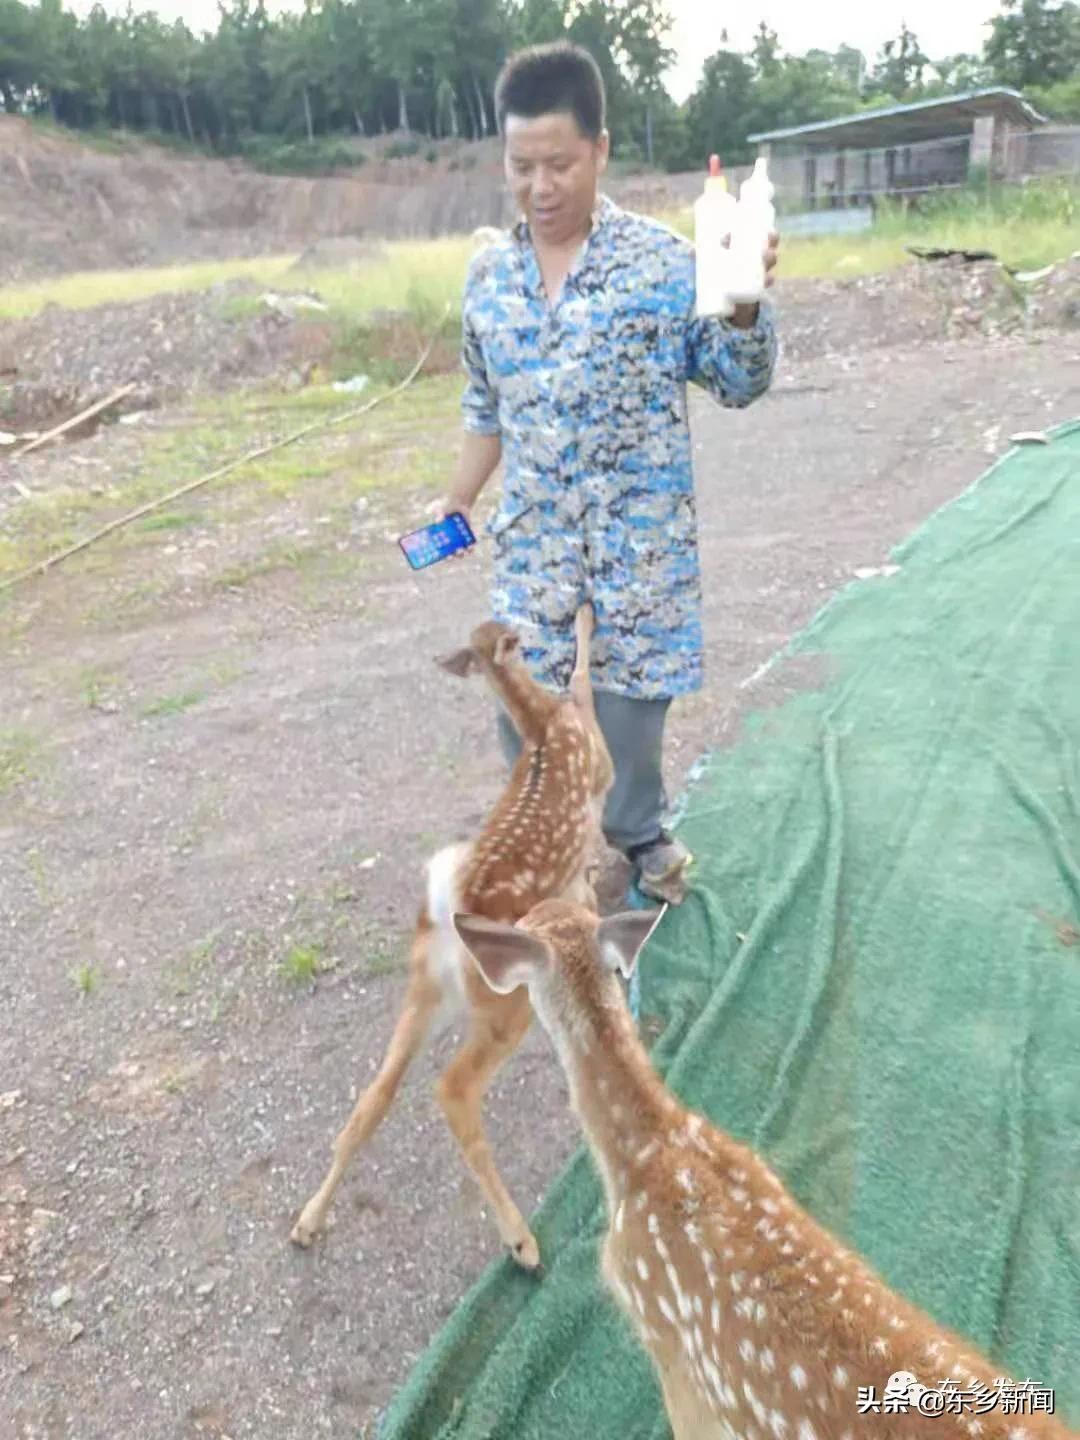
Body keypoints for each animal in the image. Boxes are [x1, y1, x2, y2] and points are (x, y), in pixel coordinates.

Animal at [290, 605, 615, 1269]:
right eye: (511, 630)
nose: (530, 618)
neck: (542, 723)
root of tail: (447, 917)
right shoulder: (598, 756)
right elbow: (581, 676)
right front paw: (586, 617)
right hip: (505, 1004)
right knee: (453, 1090)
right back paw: (521, 1241)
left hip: (425, 992)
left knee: (376, 1093)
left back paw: (307, 1222)